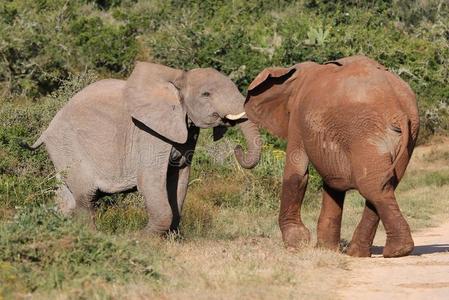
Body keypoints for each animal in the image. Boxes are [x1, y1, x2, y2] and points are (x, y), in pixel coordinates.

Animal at [25, 62, 260, 233]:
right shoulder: (147, 133)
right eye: (206, 94)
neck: (177, 79)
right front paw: (144, 238)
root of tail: (46, 130)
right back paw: (91, 237)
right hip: (69, 145)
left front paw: (172, 238)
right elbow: (150, 179)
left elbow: (180, 177)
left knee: (67, 196)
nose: (237, 148)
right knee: (85, 196)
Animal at [243, 55, 418, 258]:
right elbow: (332, 183)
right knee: (384, 184)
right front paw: (325, 249)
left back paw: (395, 251)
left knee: (373, 186)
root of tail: (398, 109)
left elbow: (297, 173)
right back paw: (361, 253)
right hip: (407, 136)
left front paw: (297, 244)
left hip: (363, 132)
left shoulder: (297, 119)